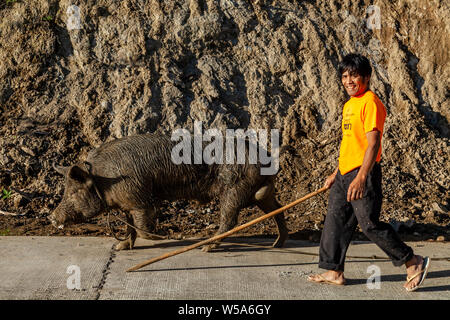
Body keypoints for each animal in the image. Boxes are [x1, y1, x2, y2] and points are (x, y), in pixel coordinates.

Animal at [49, 132, 288, 250]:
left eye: (73, 192)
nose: (52, 217)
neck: (103, 179)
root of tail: (268, 158)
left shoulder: (140, 199)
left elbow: (143, 228)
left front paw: (164, 236)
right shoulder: (127, 205)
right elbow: (130, 228)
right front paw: (120, 248)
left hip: (233, 190)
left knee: (230, 220)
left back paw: (206, 248)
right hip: (260, 193)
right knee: (278, 209)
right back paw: (277, 244)